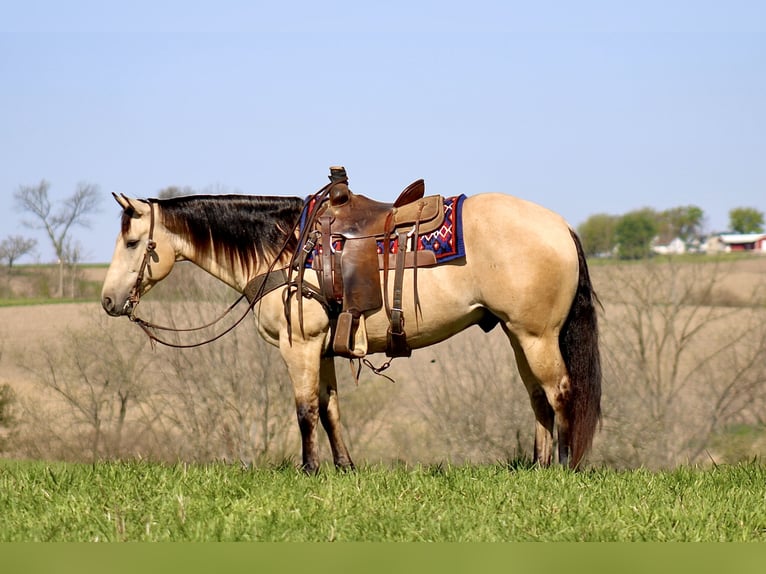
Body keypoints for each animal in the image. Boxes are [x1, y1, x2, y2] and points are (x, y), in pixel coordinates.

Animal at [101, 185, 601, 472]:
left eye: (133, 242)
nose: (107, 300)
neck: (285, 248)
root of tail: (560, 225)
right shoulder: (321, 349)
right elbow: (329, 410)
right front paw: (344, 468)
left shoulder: (299, 345)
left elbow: (304, 410)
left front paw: (309, 471)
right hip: (520, 335)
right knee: (537, 395)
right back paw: (538, 466)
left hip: (537, 336)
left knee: (560, 392)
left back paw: (563, 467)